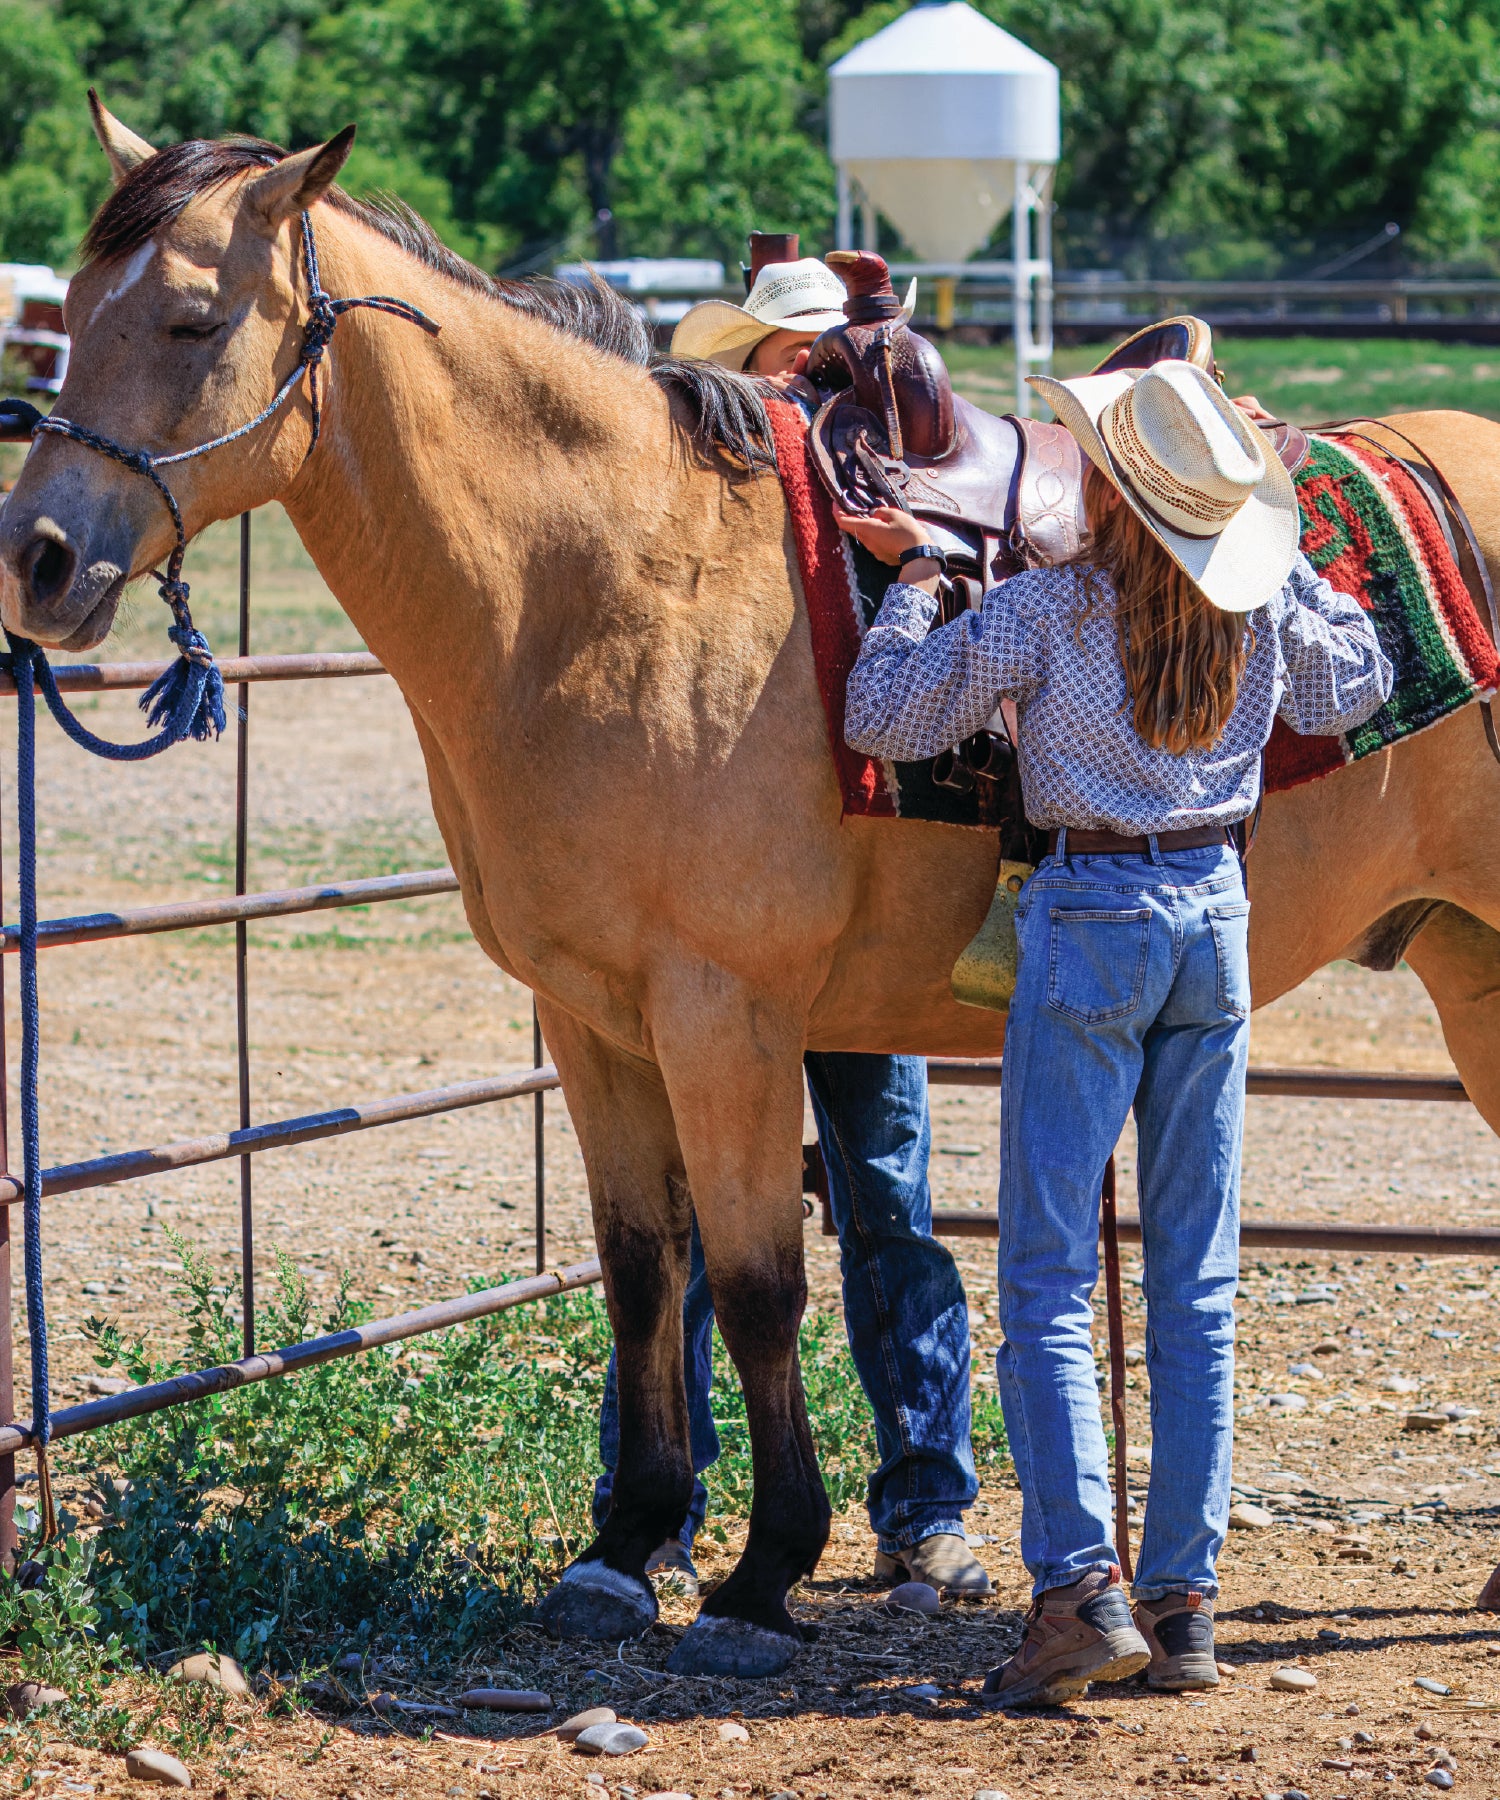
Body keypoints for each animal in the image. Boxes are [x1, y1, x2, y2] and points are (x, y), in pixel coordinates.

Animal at [3, 108, 1499, 1677]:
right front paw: (627, 1543)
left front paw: (761, 1569)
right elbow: (644, 1269)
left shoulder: (724, 1015)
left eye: (191, 318)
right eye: (69, 317)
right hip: (1471, 967)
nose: (34, 559)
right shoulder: (593, 1020)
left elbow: (760, 1282)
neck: (607, 584)